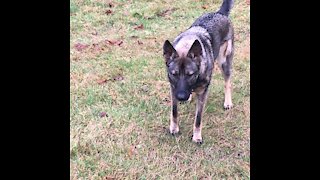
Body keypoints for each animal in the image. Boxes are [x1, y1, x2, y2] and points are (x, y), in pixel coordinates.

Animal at [162, 0, 235, 143]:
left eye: (190, 74)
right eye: (174, 74)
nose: (181, 97)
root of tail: (220, 13)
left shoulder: (202, 94)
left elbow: (198, 119)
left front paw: (196, 137)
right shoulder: (173, 89)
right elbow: (174, 111)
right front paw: (174, 129)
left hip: (224, 61)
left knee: (227, 81)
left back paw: (227, 102)